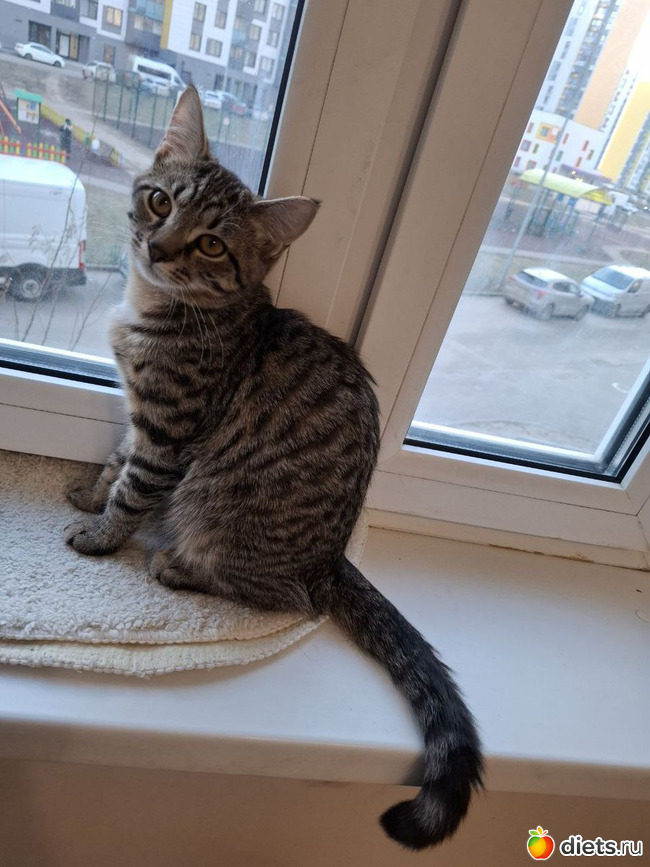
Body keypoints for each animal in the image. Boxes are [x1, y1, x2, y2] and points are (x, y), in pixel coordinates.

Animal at [64, 86, 483, 850]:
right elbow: (116, 459)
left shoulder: (171, 431)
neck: (161, 312)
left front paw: (103, 533)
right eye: (160, 202)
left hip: (215, 508)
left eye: (211, 243)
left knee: (286, 595)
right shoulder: (140, 417)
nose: (157, 246)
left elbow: (135, 488)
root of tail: (328, 555)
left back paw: (180, 568)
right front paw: (88, 491)